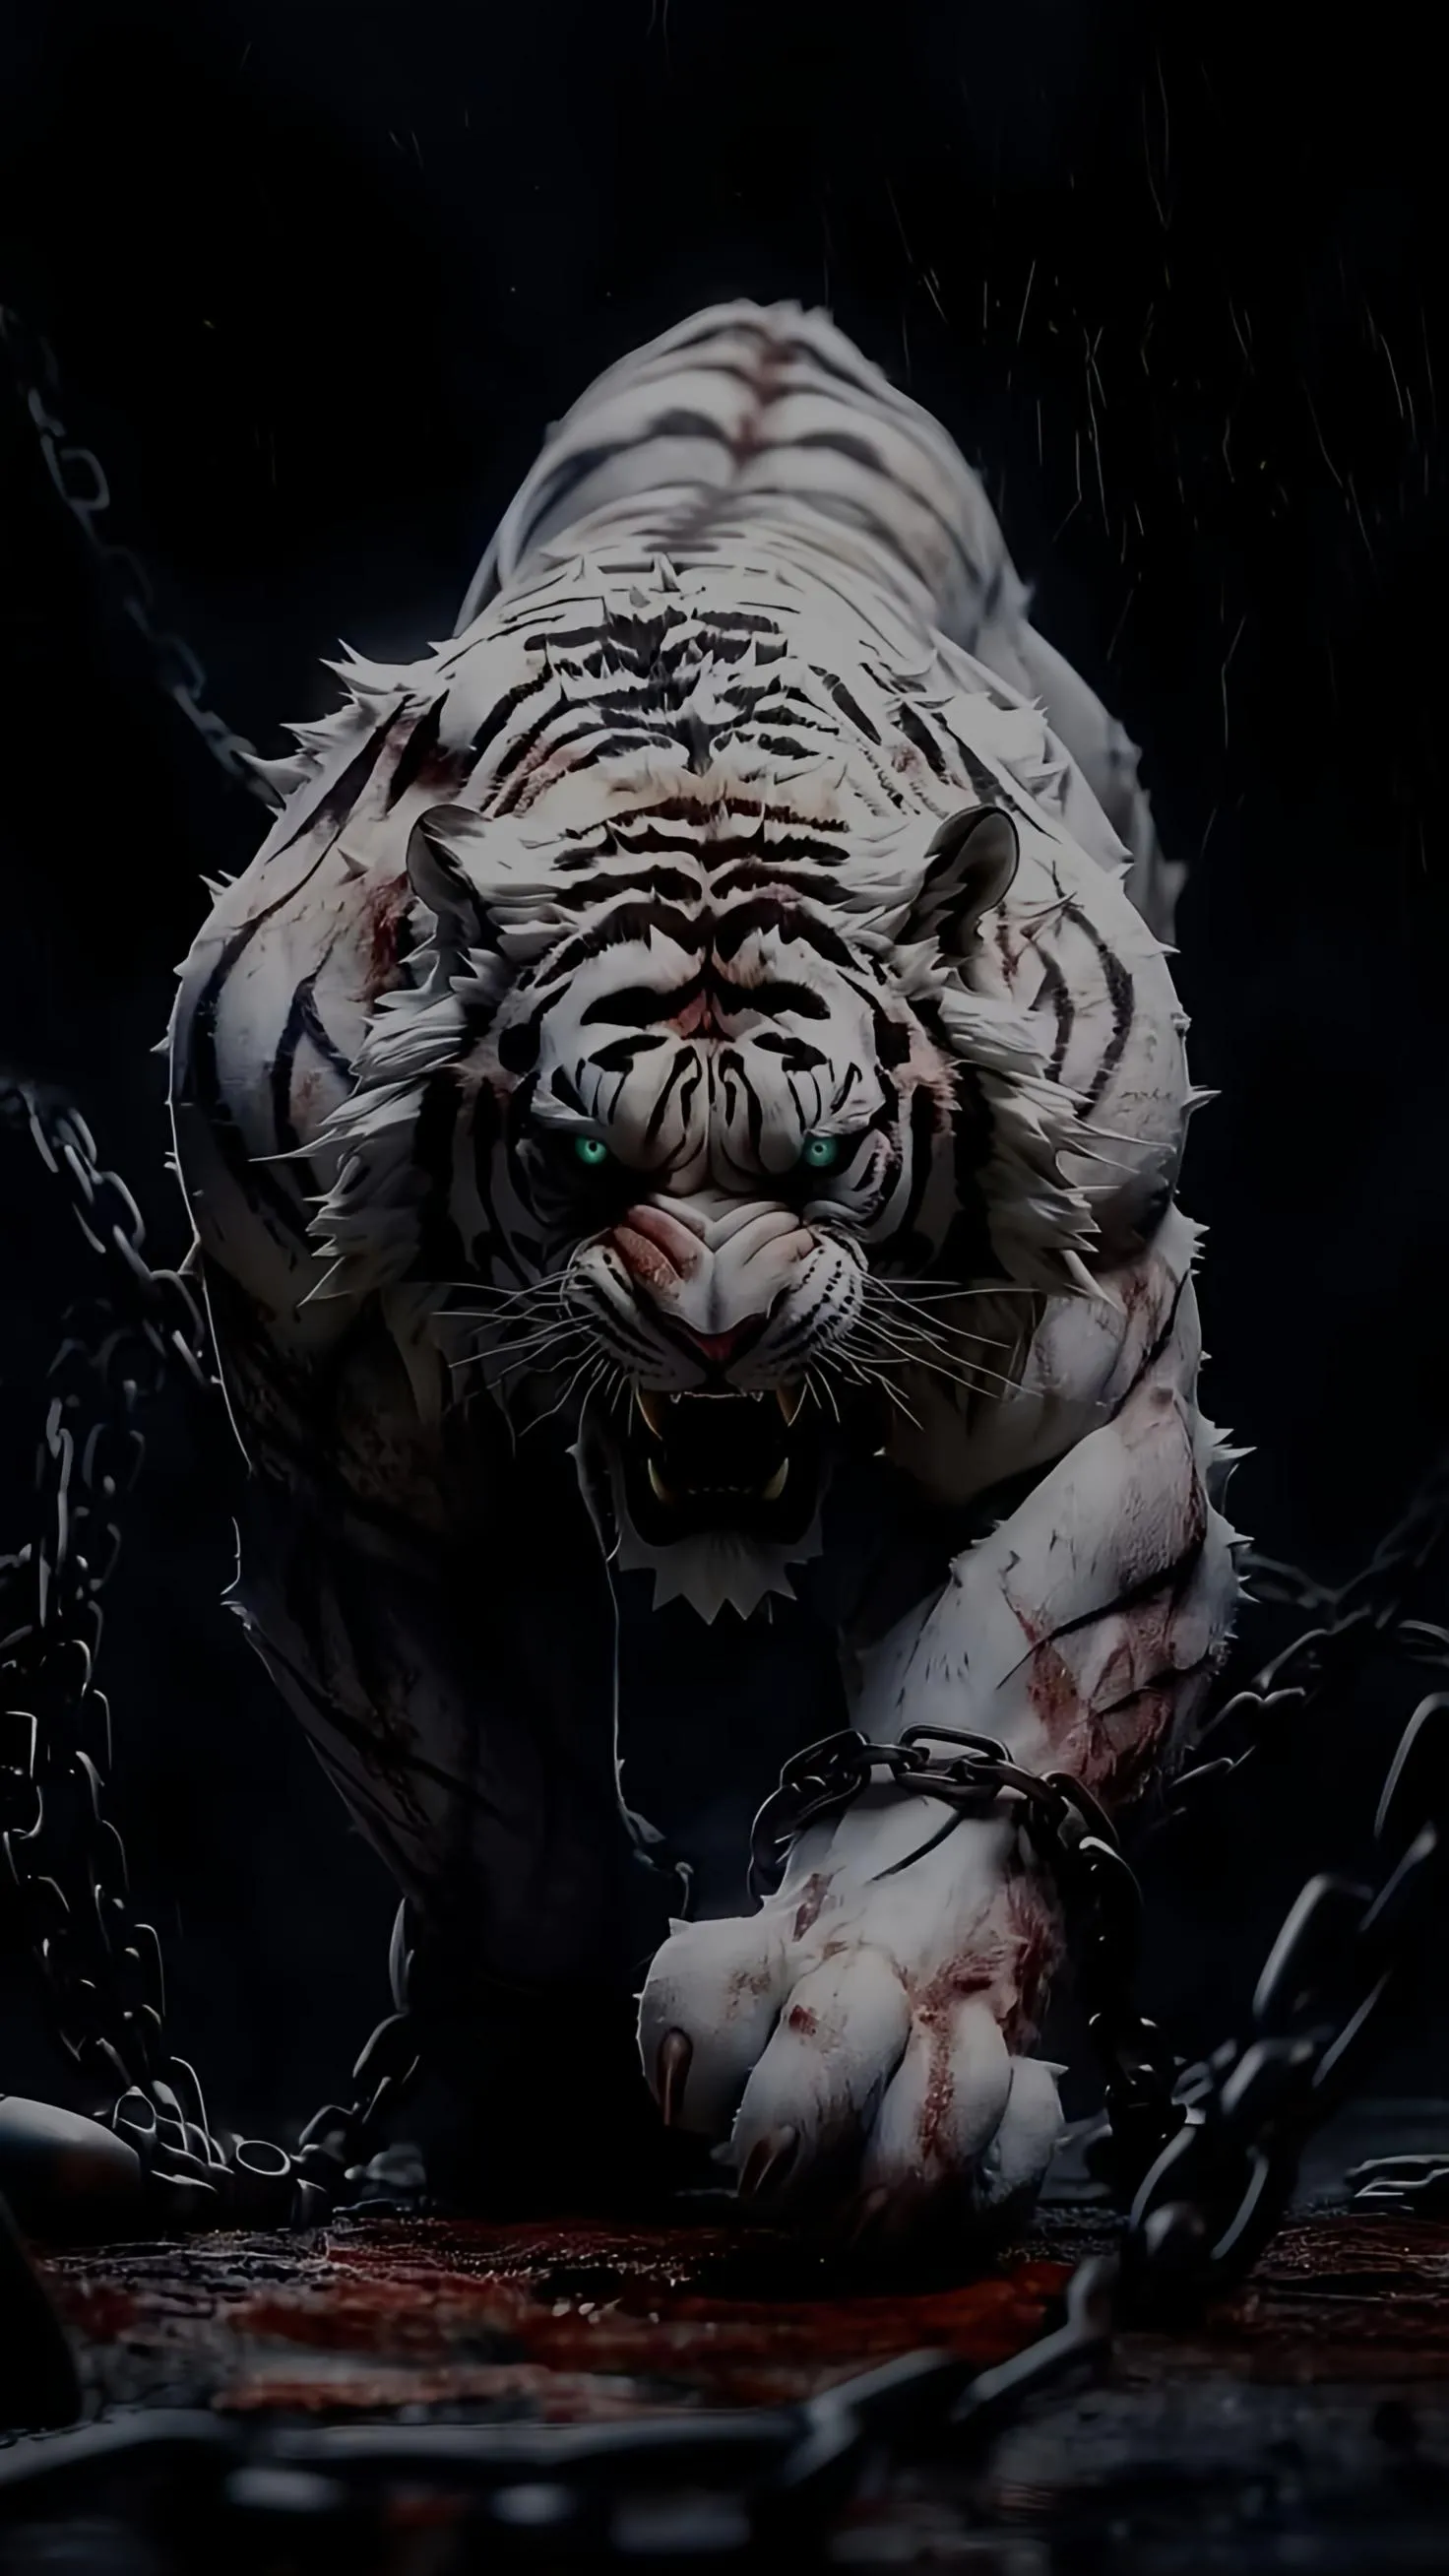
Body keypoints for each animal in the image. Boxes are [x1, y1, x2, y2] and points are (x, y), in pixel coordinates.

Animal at [170, 300, 1241, 2238]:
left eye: (819, 1161)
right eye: (589, 1159)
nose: (720, 1333)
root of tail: (769, 326)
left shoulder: (1086, 1375)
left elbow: (997, 1697)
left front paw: (863, 2048)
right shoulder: (354, 1453)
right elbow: (492, 1810)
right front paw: (557, 2074)